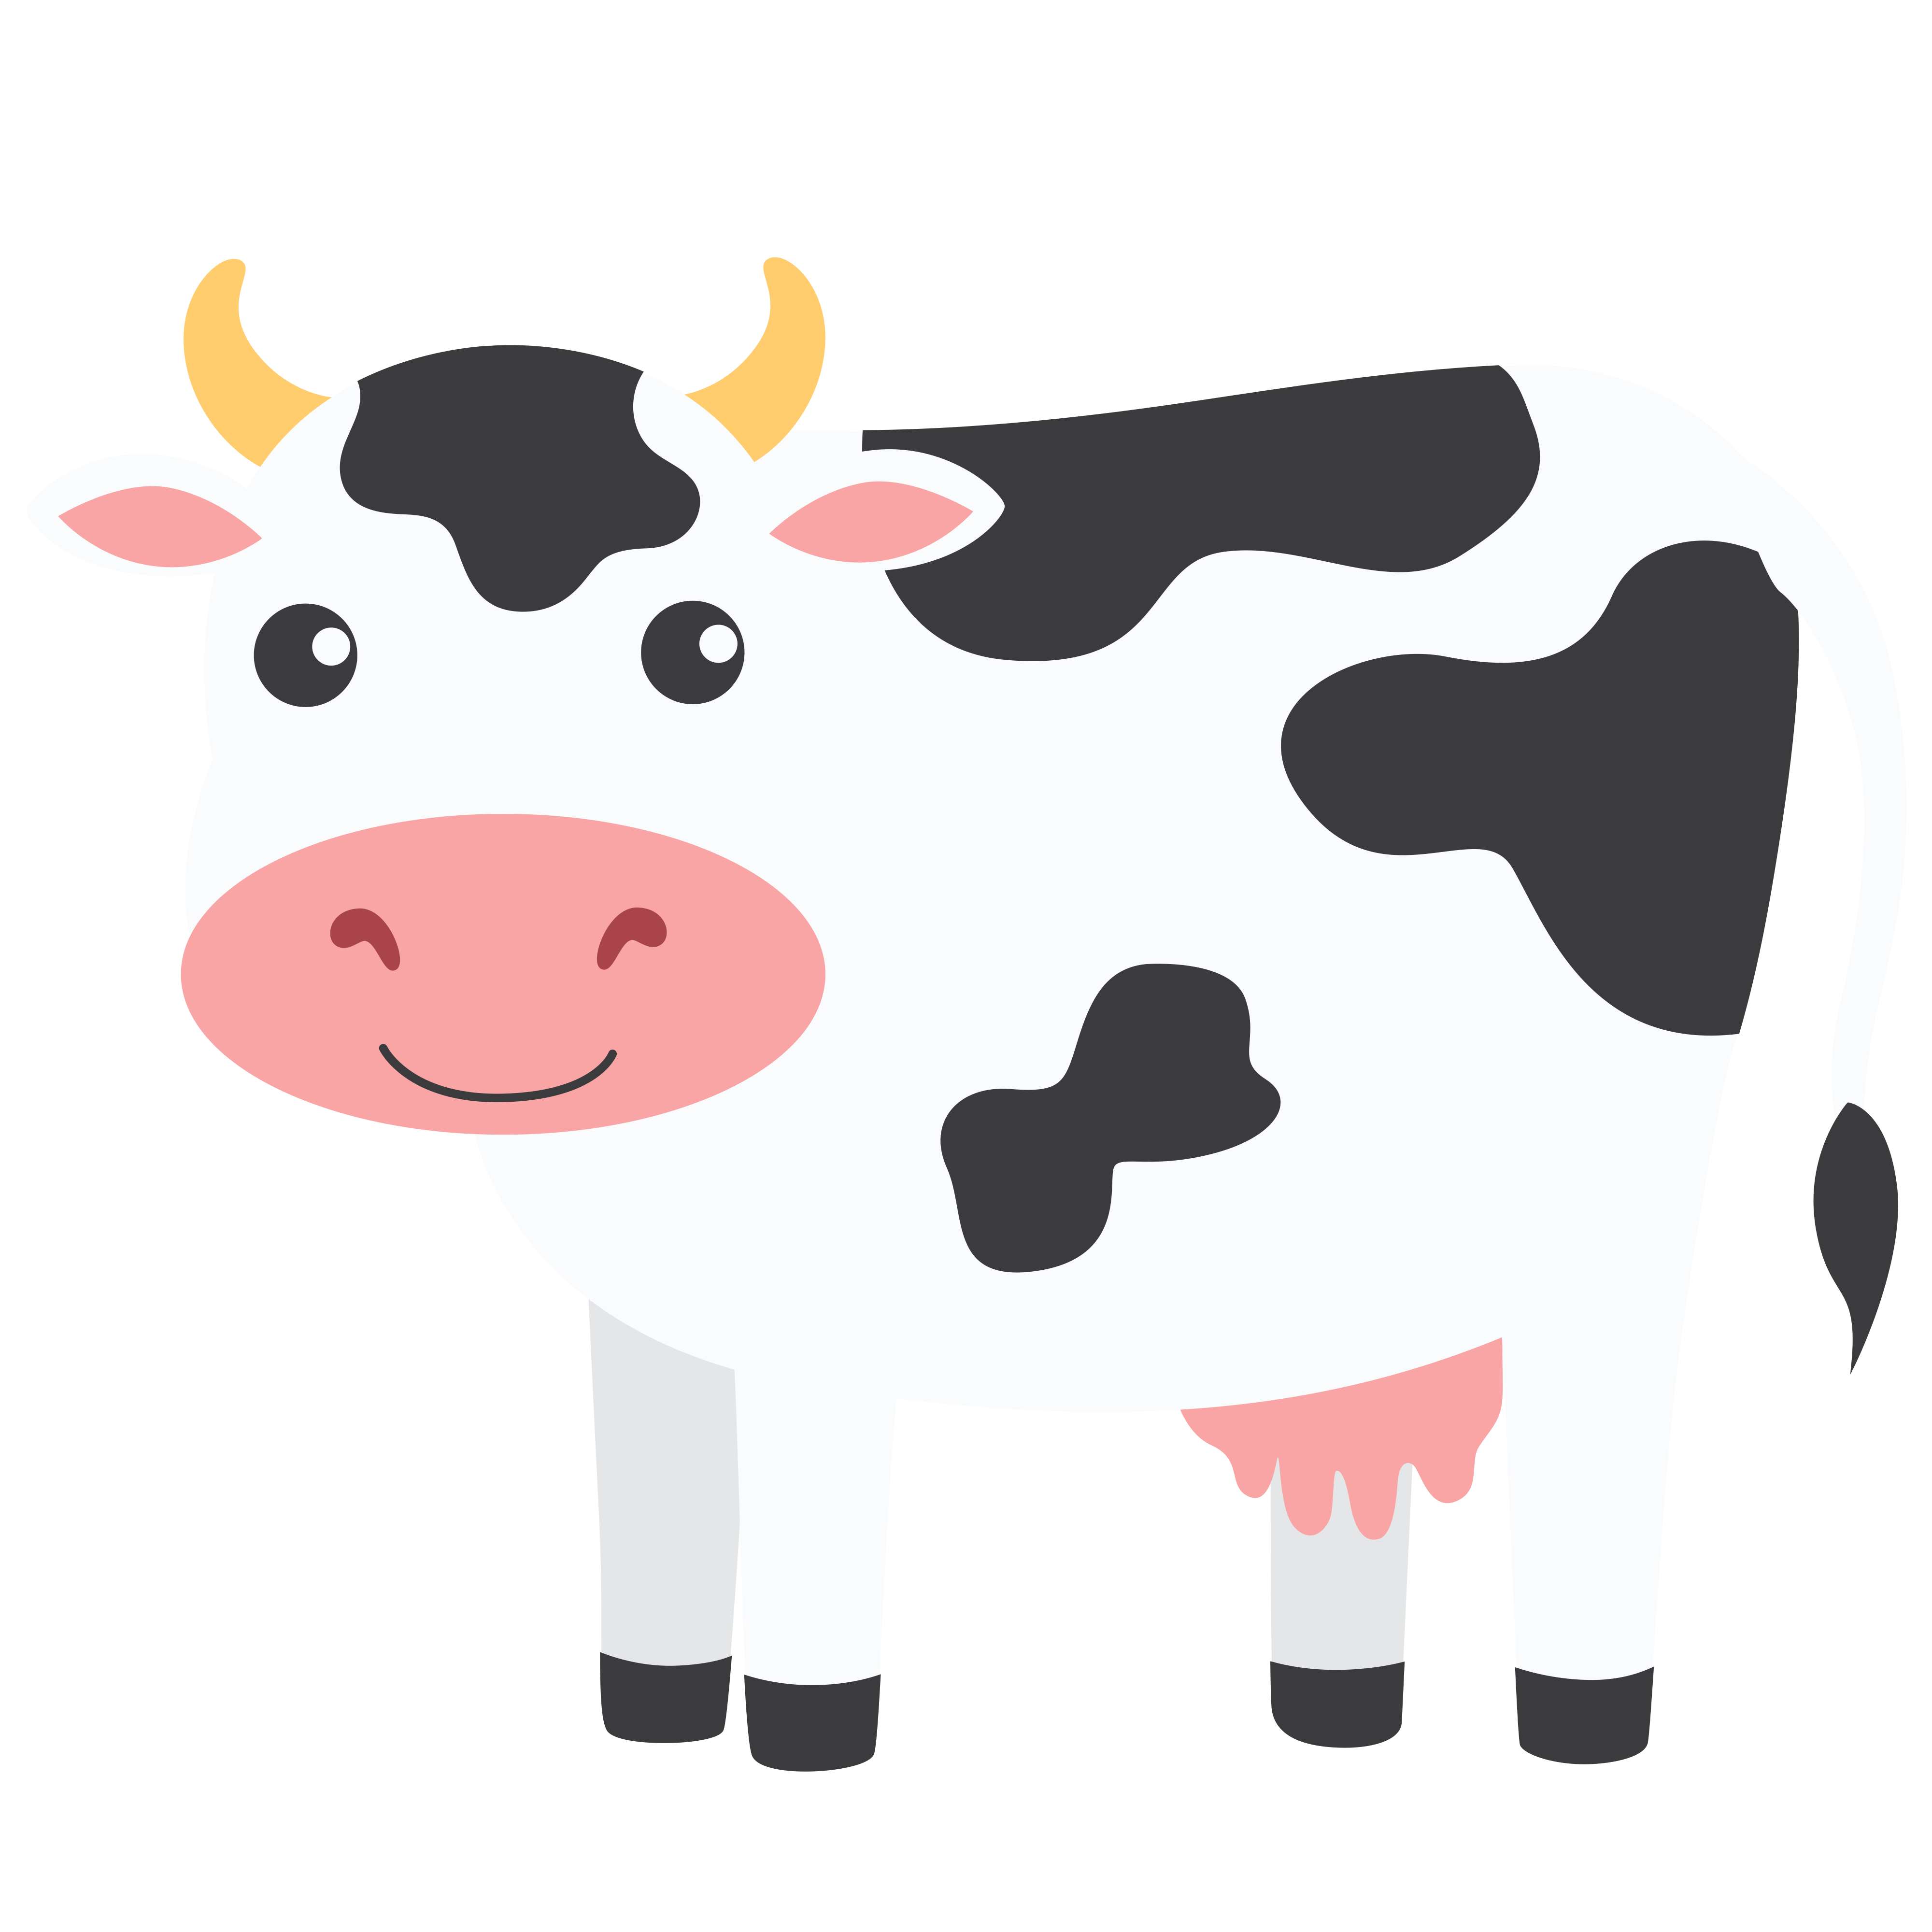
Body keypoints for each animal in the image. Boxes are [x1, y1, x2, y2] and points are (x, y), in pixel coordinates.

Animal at [28, 257, 1902, 1773]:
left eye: (702, 646)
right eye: (304, 648)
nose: (502, 912)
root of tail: (1720, 472)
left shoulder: (827, 1282)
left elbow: (809, 1557)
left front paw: (805, 1743)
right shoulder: (649, 1298)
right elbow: (653, 1521)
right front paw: (655, 1713)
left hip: (1621, 1189)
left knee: (1605, 1430)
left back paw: (1583, 1718)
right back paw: (1333, 1702)